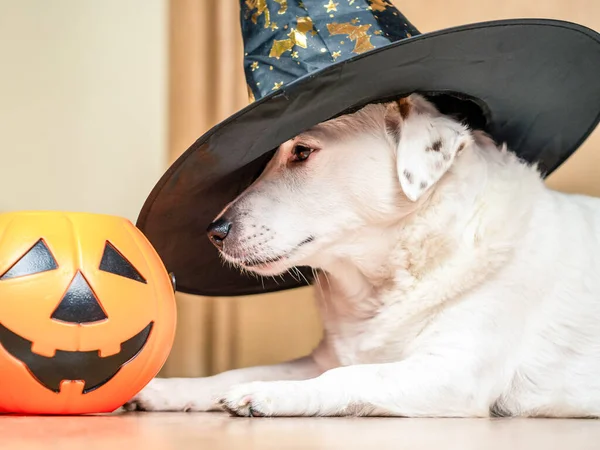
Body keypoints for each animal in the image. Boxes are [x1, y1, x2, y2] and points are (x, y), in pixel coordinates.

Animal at [126, 93, 600, 416]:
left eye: (302, 151)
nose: (214, 232)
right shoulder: (320, 358)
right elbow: (234, 373)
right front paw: (170, 389)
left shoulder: (453, 371)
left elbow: (350, 374)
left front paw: (272, 393)